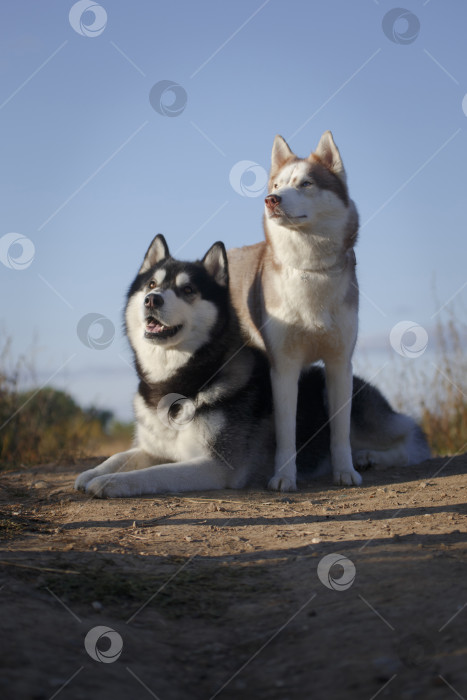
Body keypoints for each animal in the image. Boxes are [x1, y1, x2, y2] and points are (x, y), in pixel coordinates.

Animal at [74, 235, 432, 498]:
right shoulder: (154, 447)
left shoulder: (217, 464)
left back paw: (371, 457)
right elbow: (120, 456)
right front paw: (91, 473)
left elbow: (155, 474)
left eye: (188, 290)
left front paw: (110, 483)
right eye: (151, 285)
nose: (153, 301)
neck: (181, 379)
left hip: (341, 399)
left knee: (413, 438)